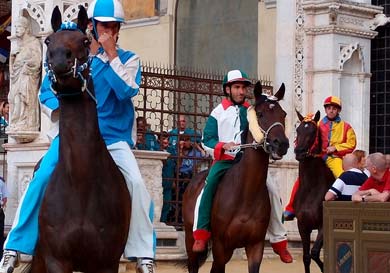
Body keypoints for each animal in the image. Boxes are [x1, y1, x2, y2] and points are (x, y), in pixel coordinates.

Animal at [30, 6, 131, 272]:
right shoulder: (56, 259)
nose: (59, 60)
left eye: (84, 41)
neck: (81, 183)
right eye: (48, 41)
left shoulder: (106, 262)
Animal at [183, 81, 290, 272]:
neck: (245, 194)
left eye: (283, 114)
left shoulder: (255, 245)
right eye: (260, 114)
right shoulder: (220, 246)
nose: (282, 144)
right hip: (191, 240)